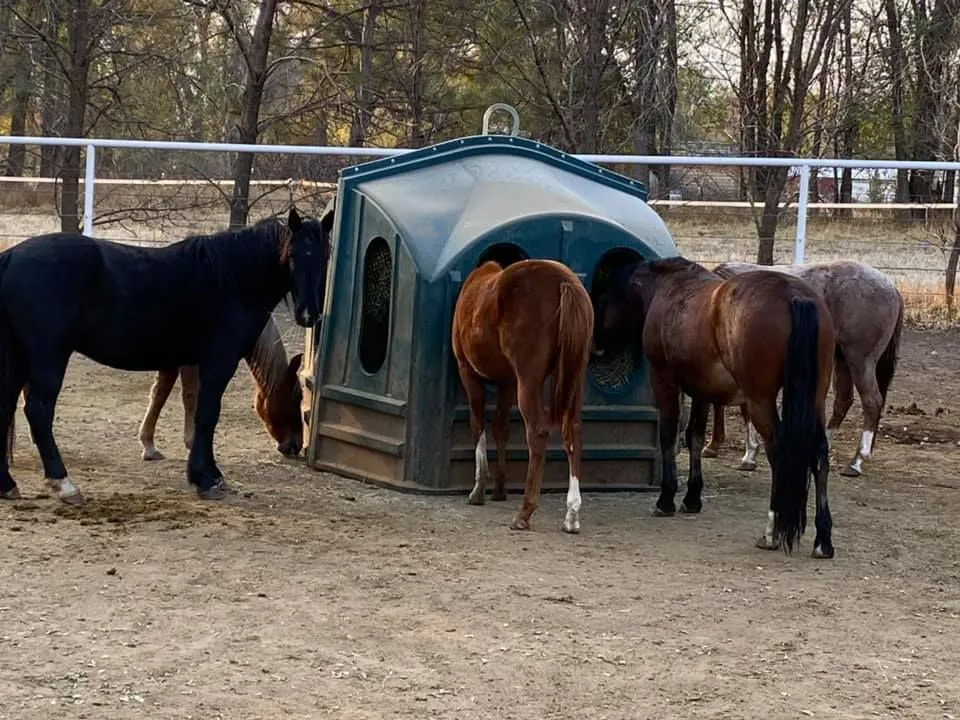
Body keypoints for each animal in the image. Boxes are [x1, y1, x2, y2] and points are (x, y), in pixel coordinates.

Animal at [452, 259, 594, 534]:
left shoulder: (467, 372)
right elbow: (500, 428)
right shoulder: (507, 381)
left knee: (537, 433)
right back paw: (572, 514)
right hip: (575, 377)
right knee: (573, 431)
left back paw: (525, 512)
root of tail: (564, 282)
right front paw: (499, 489)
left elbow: (478, 426)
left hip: (528, 381)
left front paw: (479, 490)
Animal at [591, 256, 837, 558]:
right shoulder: (702, 390)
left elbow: (669, 436)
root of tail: (794, 295)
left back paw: (771, 532)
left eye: (602, 297)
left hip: (760, 401)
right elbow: (694, 436)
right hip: (815, 399)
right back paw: (823, 539)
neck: (666, 287)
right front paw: (692, 497)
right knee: (819, 454)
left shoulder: (665, 381)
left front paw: (666, 499)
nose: (596, 345)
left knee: (779, 452)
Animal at [698, 260, 903, 478]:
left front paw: (748, 454)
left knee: (872, 402)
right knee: (843, 401)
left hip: (860, 360)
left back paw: (856, 462)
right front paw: (715, 445)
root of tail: (891, 286)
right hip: (842, 359)